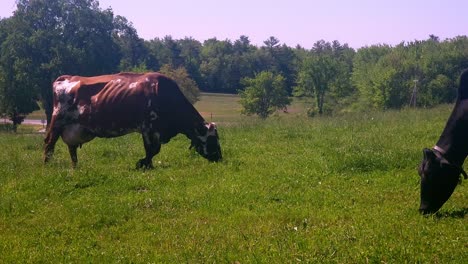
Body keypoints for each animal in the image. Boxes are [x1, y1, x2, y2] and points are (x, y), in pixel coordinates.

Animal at [43, 71, 222, 169]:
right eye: (211, 139)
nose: (219, 157)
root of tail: (67, 78)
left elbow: (153, 150)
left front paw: (146, 164)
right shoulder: (148, 127)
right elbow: (152, 150)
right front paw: (143, 164)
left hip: (74, 129)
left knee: (71, 149)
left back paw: (75, 167)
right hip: (57, 122)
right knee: (49, 144)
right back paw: (47, 165)